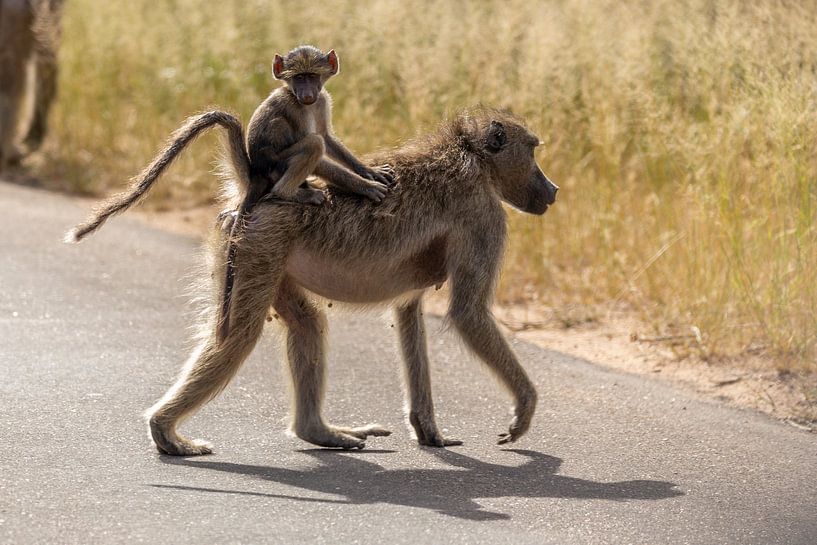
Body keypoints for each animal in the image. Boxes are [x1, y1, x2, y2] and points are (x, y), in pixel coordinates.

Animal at [128, 107, 558, 455]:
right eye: (533, 151)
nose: (552, 189)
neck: (472, 159)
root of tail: (258, 191)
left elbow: (408, 314)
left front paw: (428, 430)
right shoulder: (484, 216)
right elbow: (468, 312)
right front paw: (524, 406)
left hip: (262, 255)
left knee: (306, 324)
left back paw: (319, 432)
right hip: (257, 246)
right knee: (239, 333)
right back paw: (165, 431)